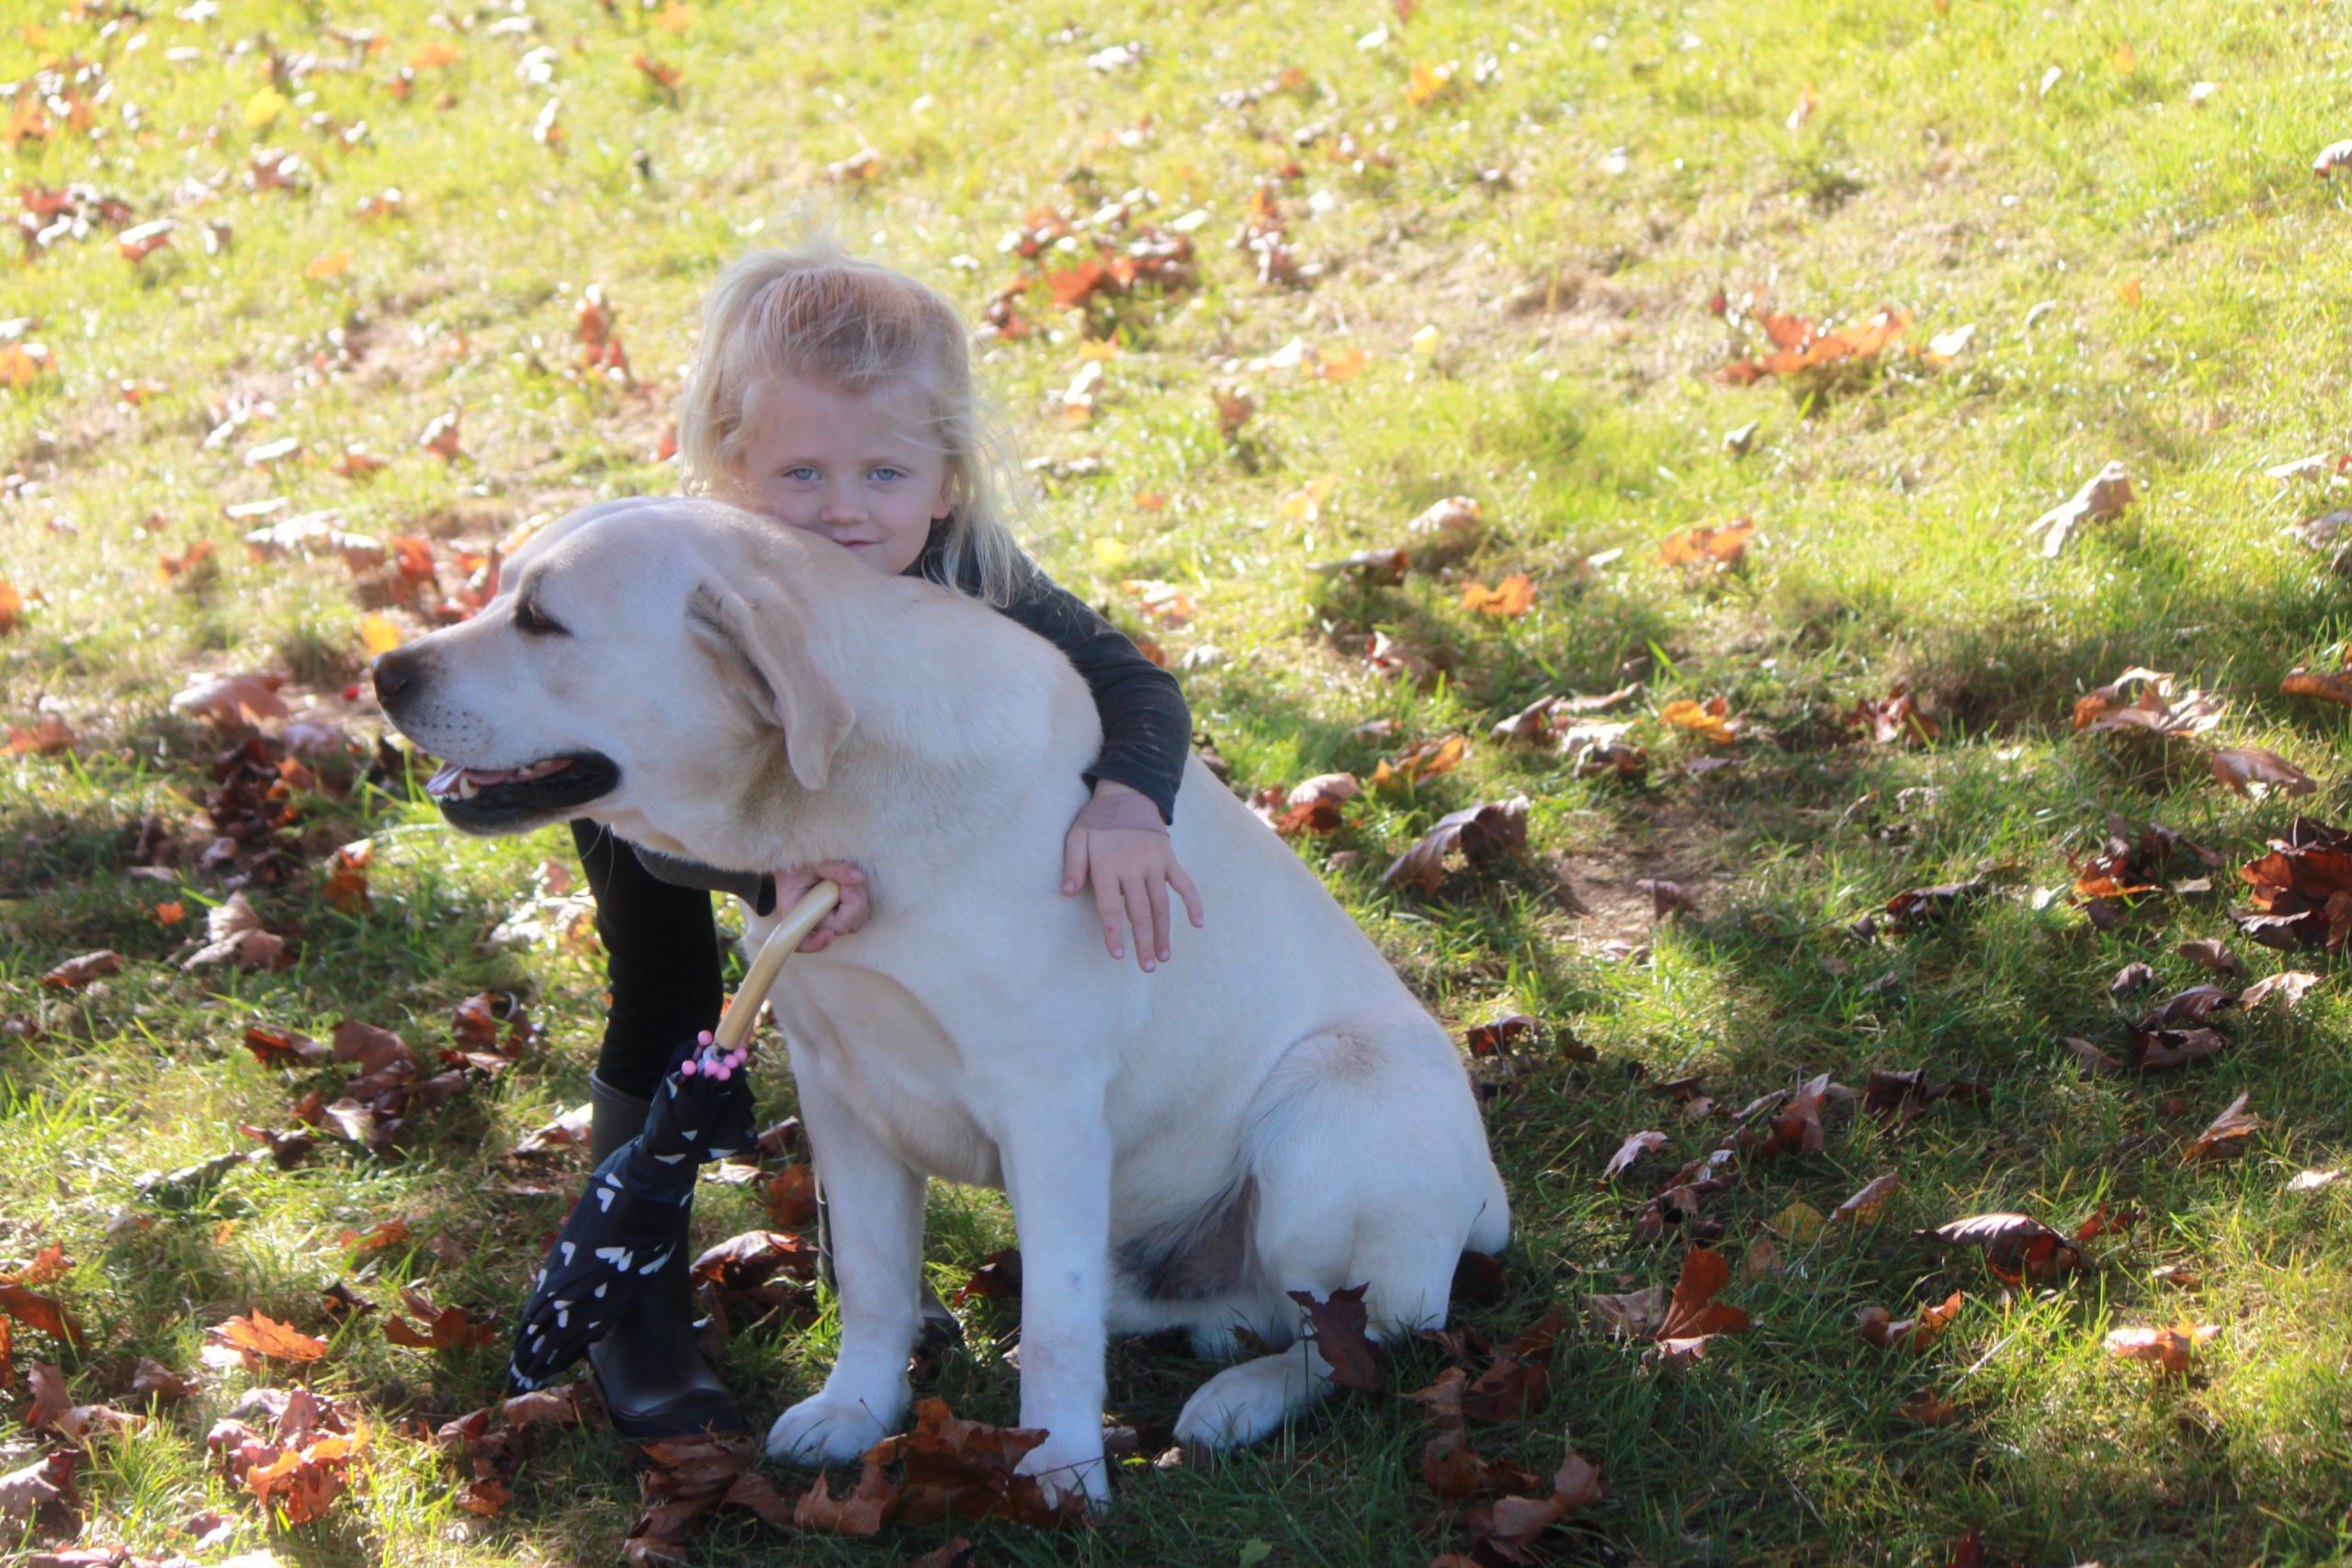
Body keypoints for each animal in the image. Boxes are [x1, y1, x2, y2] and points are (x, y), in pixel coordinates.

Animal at [375, 496, 1509, 1505]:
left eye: (542, 619)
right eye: (500, 590)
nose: (384, 673)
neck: (852, 801)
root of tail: (1487, 1194)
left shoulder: (1050, 1113)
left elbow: (1056, 1332)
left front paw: (1058, 1475)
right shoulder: (840, 1091)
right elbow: (877, 1282)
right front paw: (855, 1410)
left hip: (1336, 1095)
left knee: (1348, 1340)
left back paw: (1240, 1399)